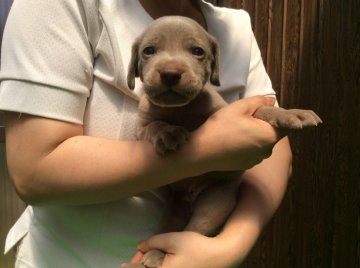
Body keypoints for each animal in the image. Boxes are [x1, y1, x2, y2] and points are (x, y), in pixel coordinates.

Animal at [122, 16, 322, 268]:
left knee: (192, 231)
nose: (170, 73)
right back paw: (146, 259)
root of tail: (189, 199)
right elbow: (154, 126)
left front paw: (291, 113)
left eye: (197, 51)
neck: (182, 110)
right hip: (174, 210)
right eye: (149, 50)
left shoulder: (224, 110)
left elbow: (260, 109)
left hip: (214, 204)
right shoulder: (142, 127)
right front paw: (169, 133)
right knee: (167, 233)